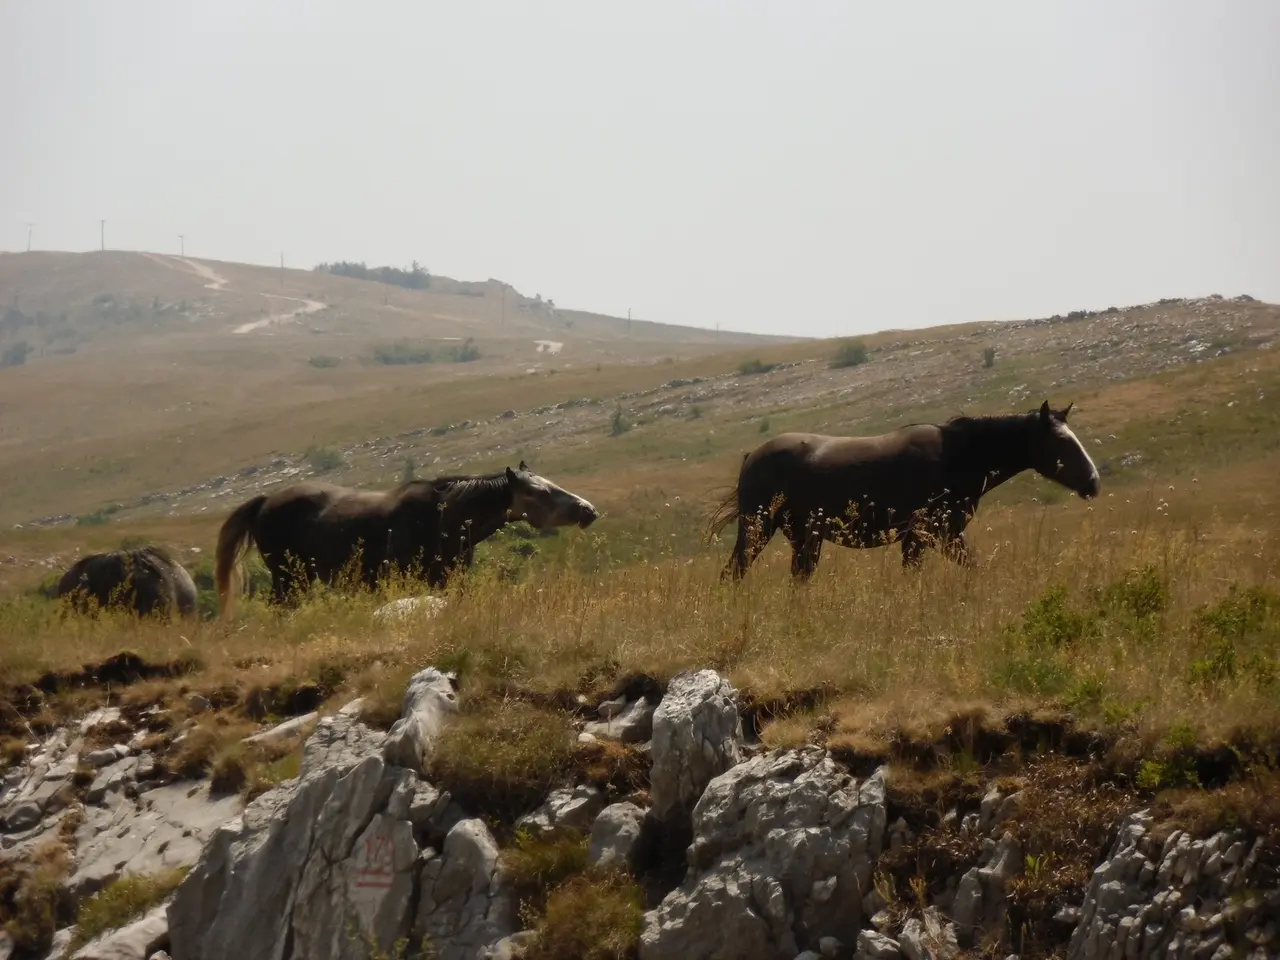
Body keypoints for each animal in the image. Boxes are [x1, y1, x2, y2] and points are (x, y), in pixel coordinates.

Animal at [214, 461, 599, 615]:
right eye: (538, 493)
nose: (588, 510)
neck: (445, 518)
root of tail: (265, 501)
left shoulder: (451, 580)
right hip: (288, 576)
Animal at [707, 400, 1100, 580]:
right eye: (1061, 443)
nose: (1093, 482)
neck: (955, 457)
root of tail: (752, 456)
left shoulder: (947, 536)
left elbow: (973, 568)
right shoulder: (923, 536)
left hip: (804, 538)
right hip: (758, 529)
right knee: (734, 572)